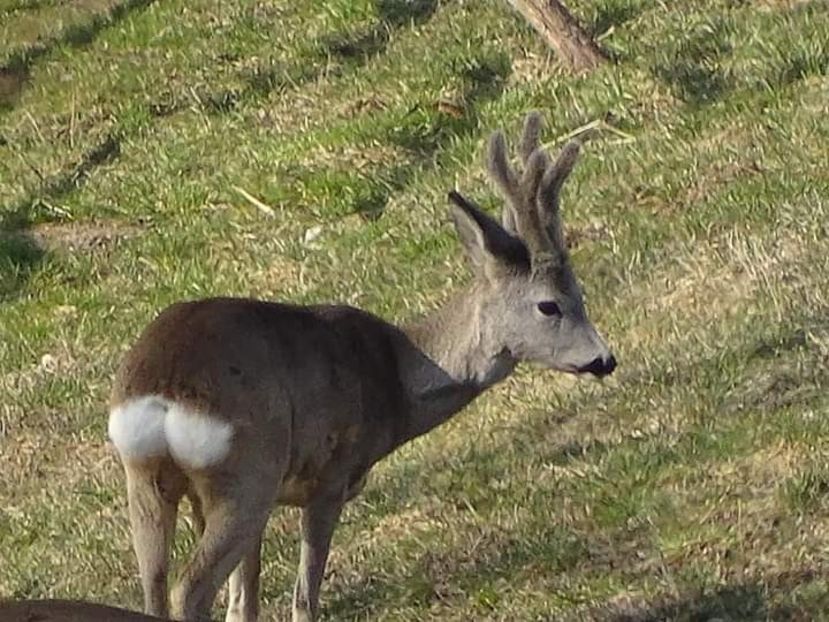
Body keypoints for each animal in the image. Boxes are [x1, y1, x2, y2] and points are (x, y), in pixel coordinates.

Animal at [106, 113, 616, 622]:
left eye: (580, 293)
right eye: (549, 305)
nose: (604, 359)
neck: (394, 376)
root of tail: (163, 390)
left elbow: (244, 599)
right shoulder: (331, 476)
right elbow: (302, 597)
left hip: (149, 479)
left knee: (155, 585)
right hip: (249, 472)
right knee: (189, 589)